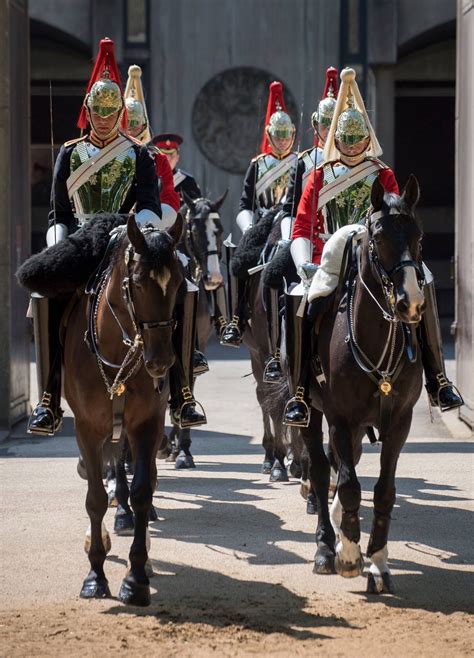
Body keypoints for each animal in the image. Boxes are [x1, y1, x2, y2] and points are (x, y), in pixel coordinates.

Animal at [65, 215, 184, 604]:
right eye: (139, 282)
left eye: (178, 281)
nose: (160, 362)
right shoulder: (87, 427)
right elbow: (95, 499)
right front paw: (95, 574)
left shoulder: (147, 423)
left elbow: (143, 491)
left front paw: (136, 577)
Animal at [302, 176, 424, 588]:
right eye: (380, 235)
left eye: (418, 235)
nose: (410, 303)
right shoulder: (339, 416)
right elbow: (349, 483)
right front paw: (351, 556)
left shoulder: (400, 421)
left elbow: (383, 490)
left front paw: (379, 562)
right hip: (309, 411)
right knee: (322, 469)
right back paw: (326, 547)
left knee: (344, 461)